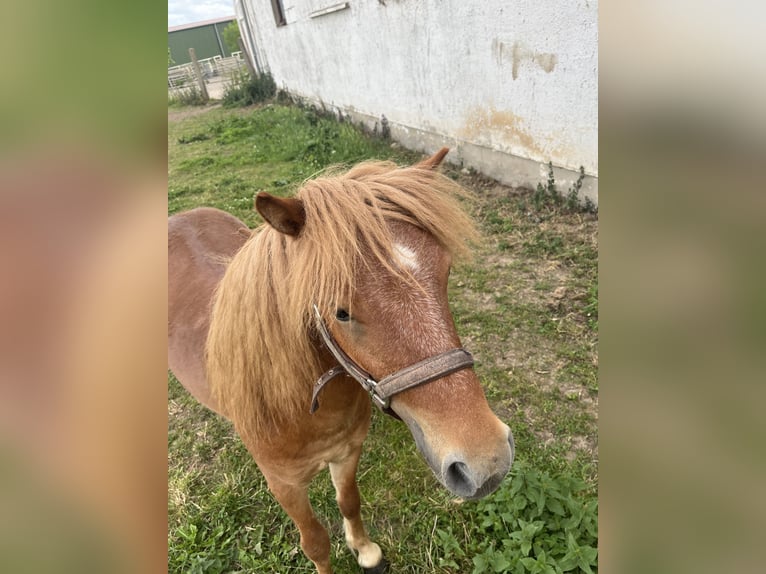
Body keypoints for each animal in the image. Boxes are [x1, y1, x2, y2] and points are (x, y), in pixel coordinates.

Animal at [168, 150, 516, 574]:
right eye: (341, 312)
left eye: (445, 274)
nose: (487, 462)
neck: (304, 405)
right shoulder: (285, 485)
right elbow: (316, 542)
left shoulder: (348, 452)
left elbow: (349, 501)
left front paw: (365, 550)